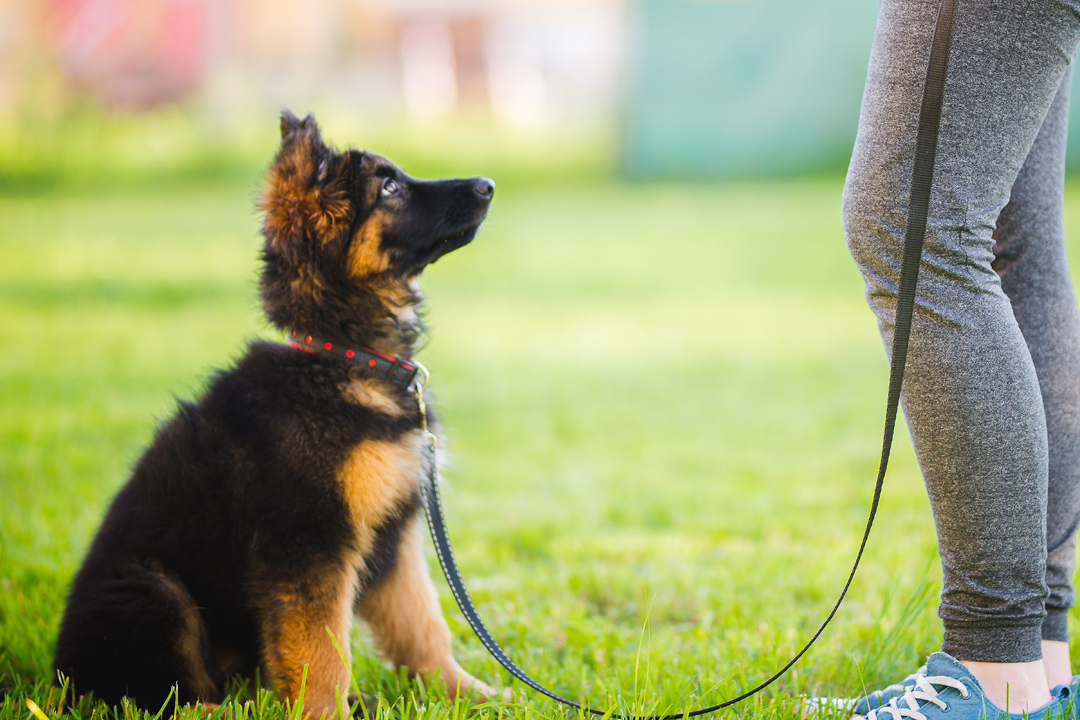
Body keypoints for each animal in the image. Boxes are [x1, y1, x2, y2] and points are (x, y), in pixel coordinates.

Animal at [53, 111, 496, 716]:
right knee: (169, 697)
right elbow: (323, 654)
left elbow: (423, 624)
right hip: (153, 591)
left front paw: (468, 692)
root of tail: (60, 677)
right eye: (389, 188)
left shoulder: (396, 534)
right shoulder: (308, 542)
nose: (488, 185)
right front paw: (326, 712)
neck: (341, 358)